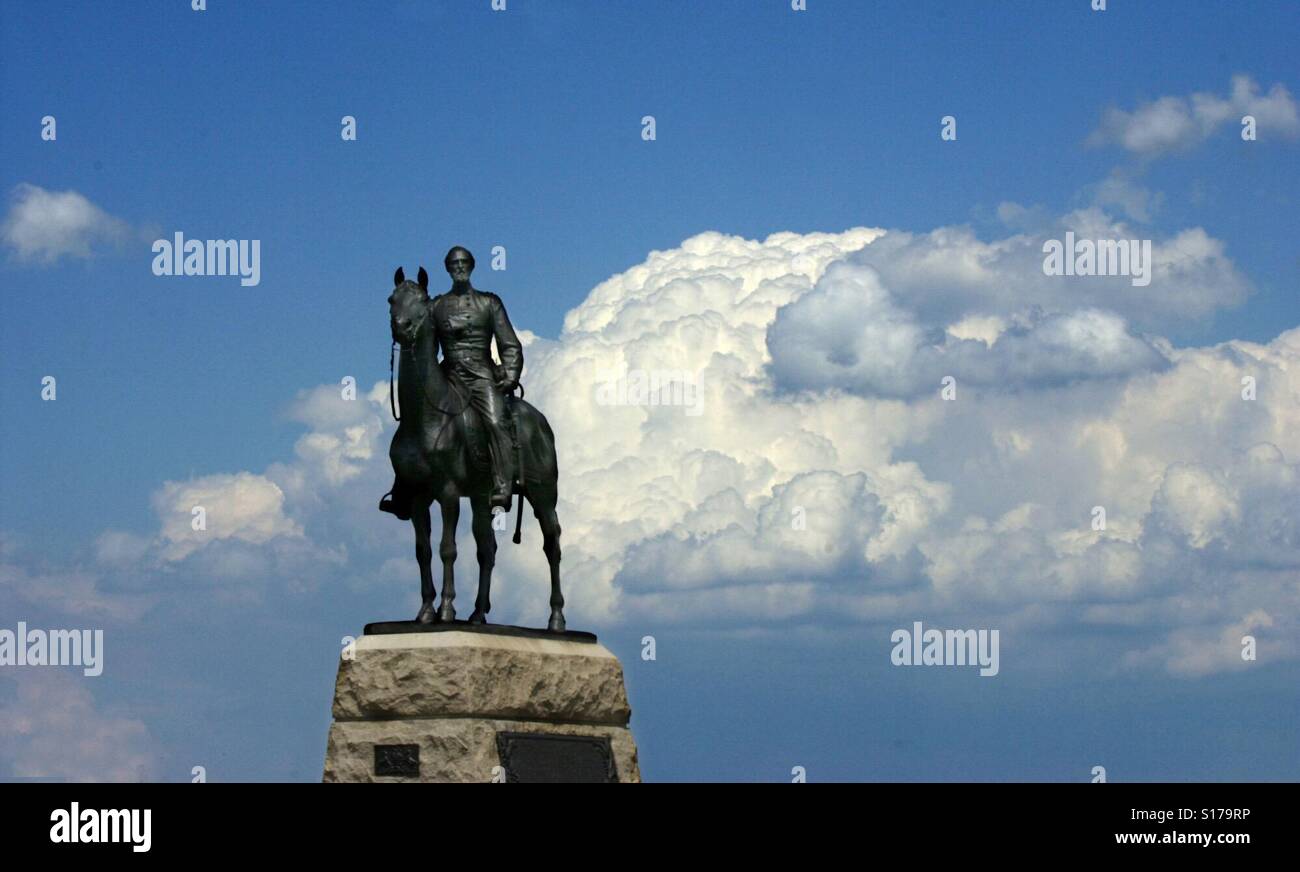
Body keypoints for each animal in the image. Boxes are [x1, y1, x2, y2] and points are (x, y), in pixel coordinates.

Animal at [384, 266, 569, 634]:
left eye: (423, 302)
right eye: (391, 299)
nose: (402, 327)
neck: (426, 415)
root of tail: (539, 420)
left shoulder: (448, 493)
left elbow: (447, 549)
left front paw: (445, 610)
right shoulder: (418, 498)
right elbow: (423, 551)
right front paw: (425, 611)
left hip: (543, 496)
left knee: (551, 544)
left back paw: (556, 618)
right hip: (484, 497)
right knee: (488, 549)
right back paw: (479, 614)